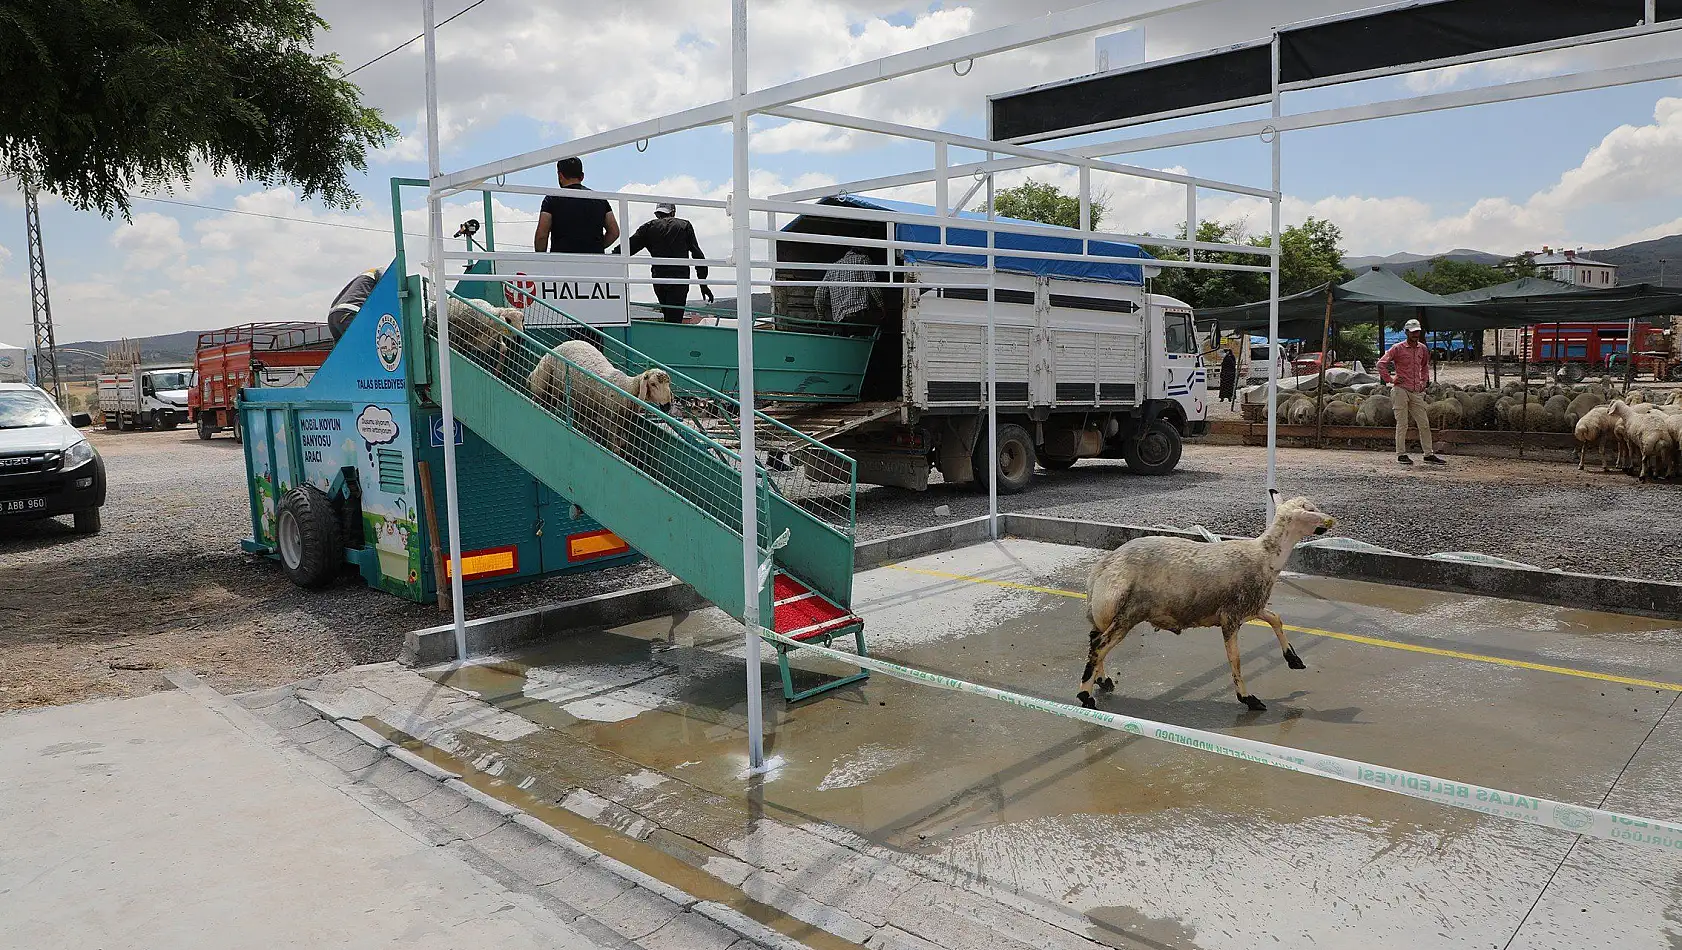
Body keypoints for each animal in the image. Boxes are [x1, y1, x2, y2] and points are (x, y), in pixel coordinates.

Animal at [1076, 497, 1338, 712]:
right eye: (1310, 509)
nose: (1330, 521)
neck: (1264, 556)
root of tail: (1100, 571)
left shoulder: (1251, 608)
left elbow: (1276, 618)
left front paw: (1294, 659)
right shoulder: (1231, 616)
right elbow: (1236, 658)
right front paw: (1247, 698)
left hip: (1107, 614)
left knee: (1094, 639)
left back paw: (1102, 680)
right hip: (1128, 613)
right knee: (1099, 646)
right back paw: (1085, 696)